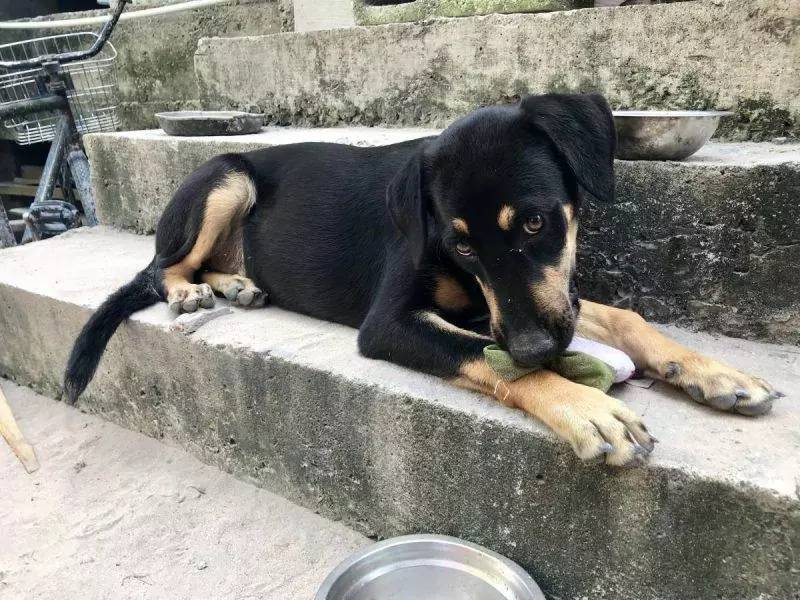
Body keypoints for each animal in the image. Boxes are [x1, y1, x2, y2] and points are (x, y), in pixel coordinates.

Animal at [64, 95, 780, 468]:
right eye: (461, 243)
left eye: (536, 221)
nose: (535, 349)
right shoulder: (394, 323)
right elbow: (488, 359)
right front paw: (587, 409)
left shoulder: (540, 302)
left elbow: (623, 318)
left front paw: (716, 373)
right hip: (225, 179)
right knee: (160, 267)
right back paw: (191, 291)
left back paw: (235, 285)